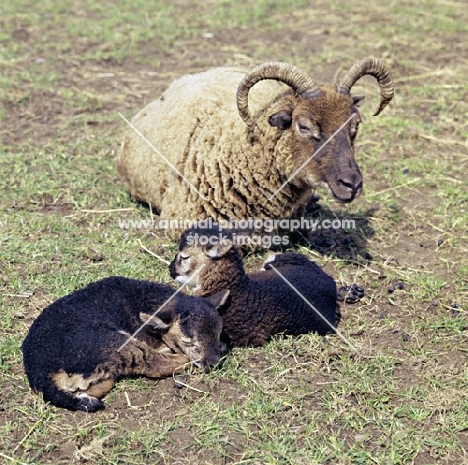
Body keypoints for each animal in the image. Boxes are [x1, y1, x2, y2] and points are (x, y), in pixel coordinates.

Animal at [21, 276, 229, 410]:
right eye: (188, 341)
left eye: (219, 332)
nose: (214, 363)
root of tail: (41, 375)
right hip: (111, 343)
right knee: (154, 363)